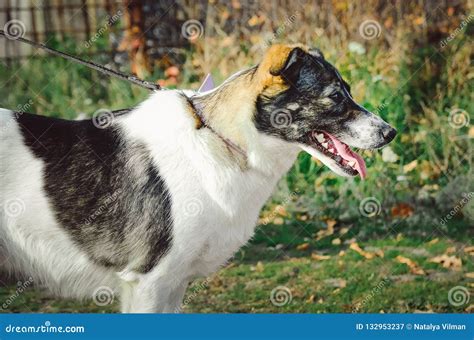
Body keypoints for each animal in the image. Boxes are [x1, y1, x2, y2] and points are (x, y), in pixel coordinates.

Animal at [0, 43, 396, 312]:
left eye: (348, 91)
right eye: (335, 97)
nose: (390, 133)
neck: (223, 140)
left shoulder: (173, 286)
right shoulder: (149, 283)